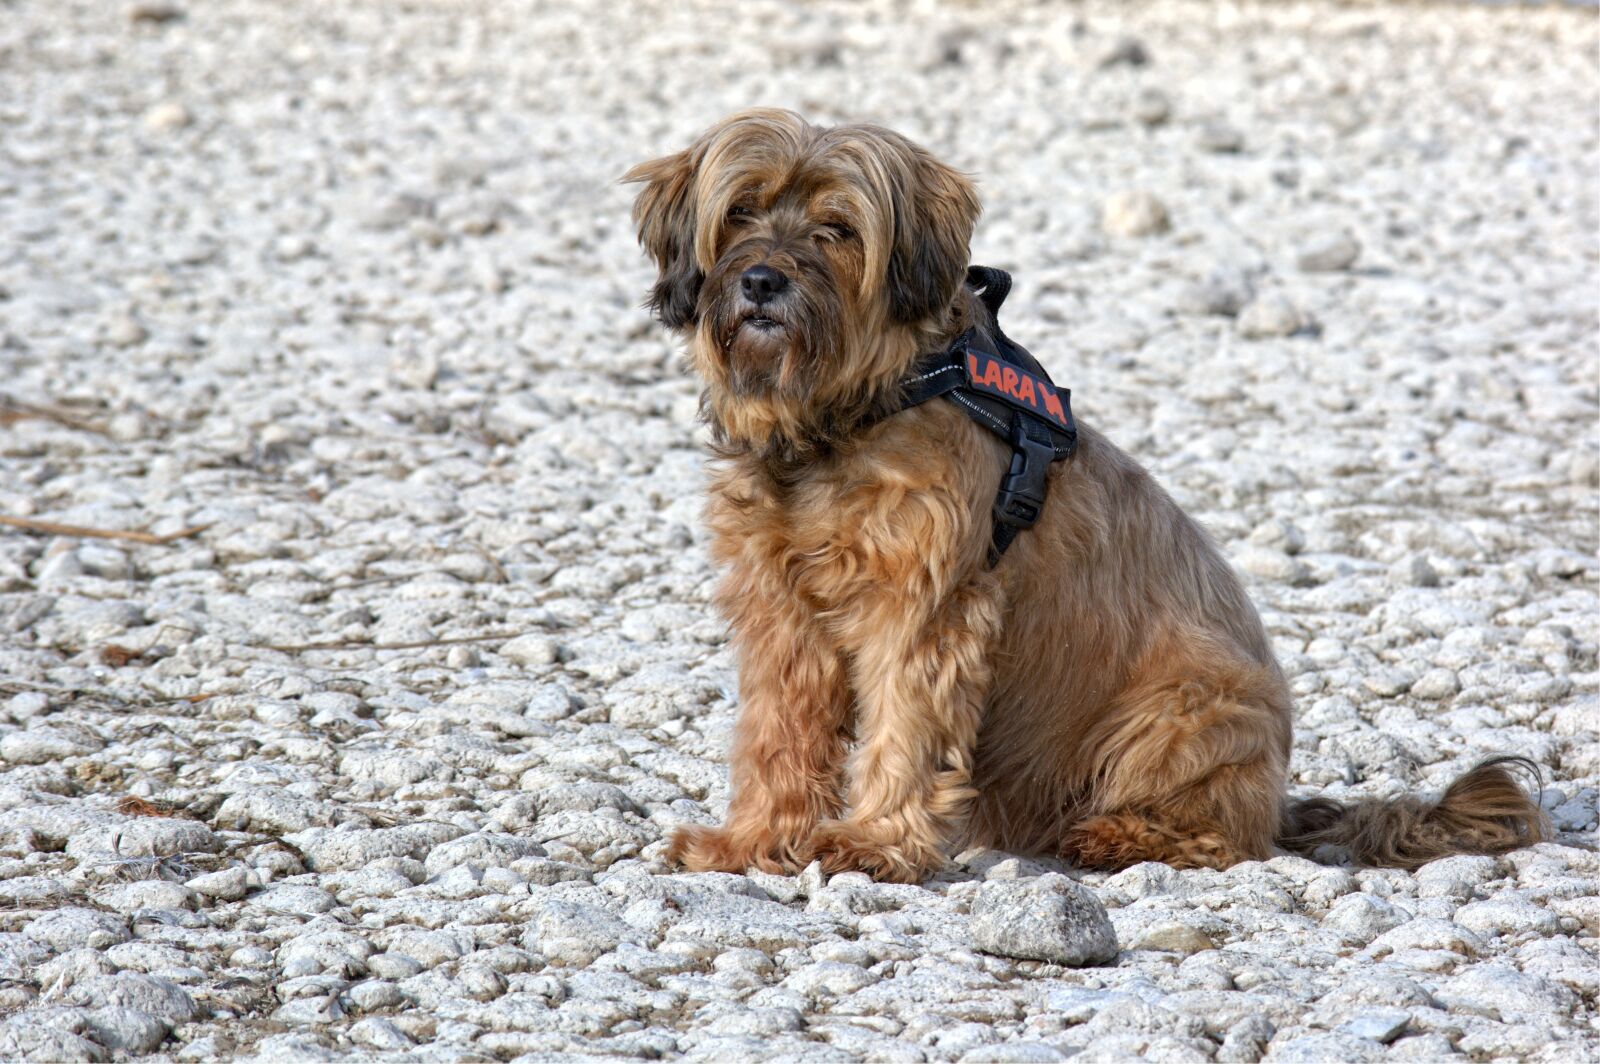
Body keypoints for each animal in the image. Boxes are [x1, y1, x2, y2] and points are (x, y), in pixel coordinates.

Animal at [627, 112, 1548, 883]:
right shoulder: (782, 616)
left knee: (1224, 836)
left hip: (1184, 710)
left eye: (838, 228)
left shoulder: (924, 612)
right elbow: (776, 737)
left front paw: (873, 843)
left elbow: (904, 734)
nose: (761, 282)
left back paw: (1118, 834)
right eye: (741, 212)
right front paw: (752, 840)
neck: (852, 414)